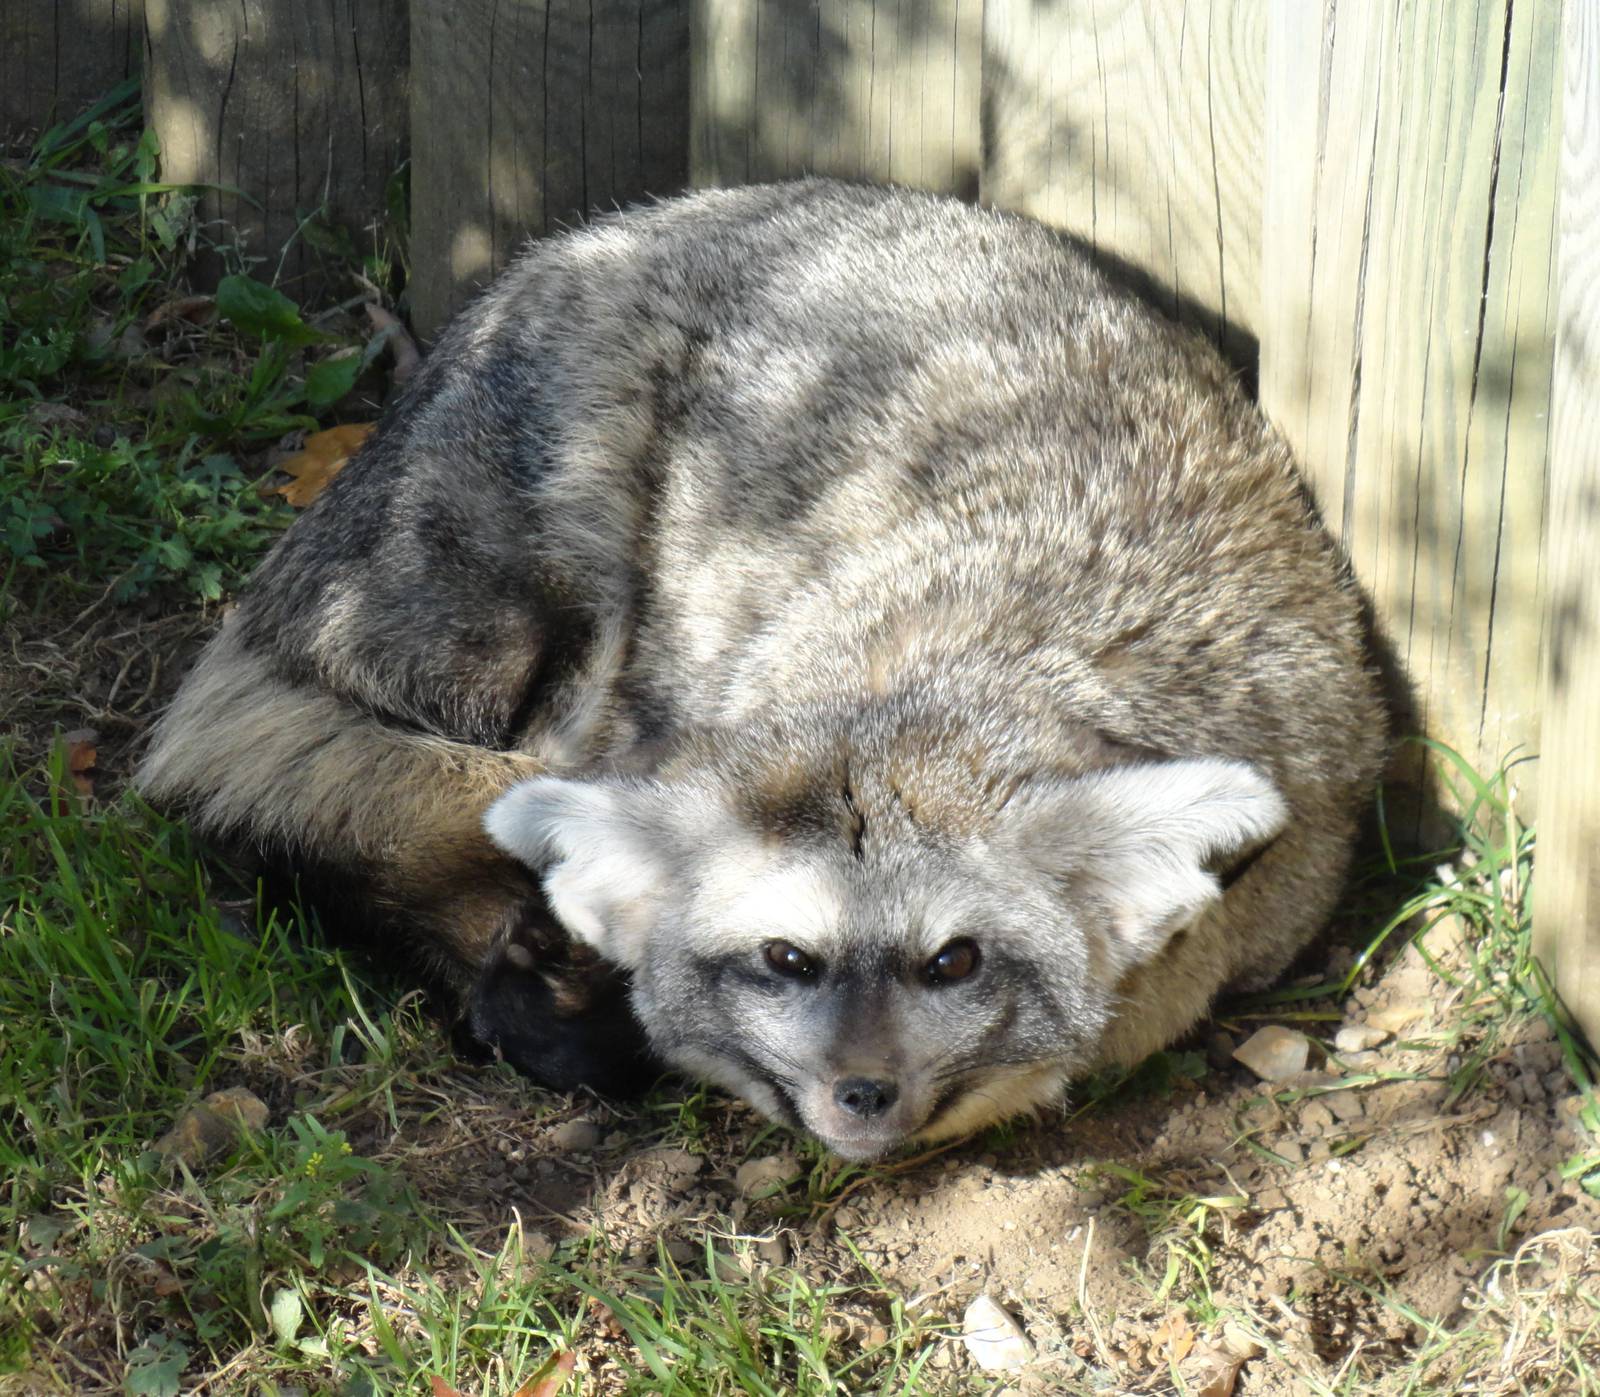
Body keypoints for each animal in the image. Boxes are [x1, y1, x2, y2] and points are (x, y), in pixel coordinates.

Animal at [139, 179, 1386, 1160]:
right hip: (507, 602)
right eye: (784, 958)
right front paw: (544, 974)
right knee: (246, 783)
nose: (861, 1089)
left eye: (955, 961)